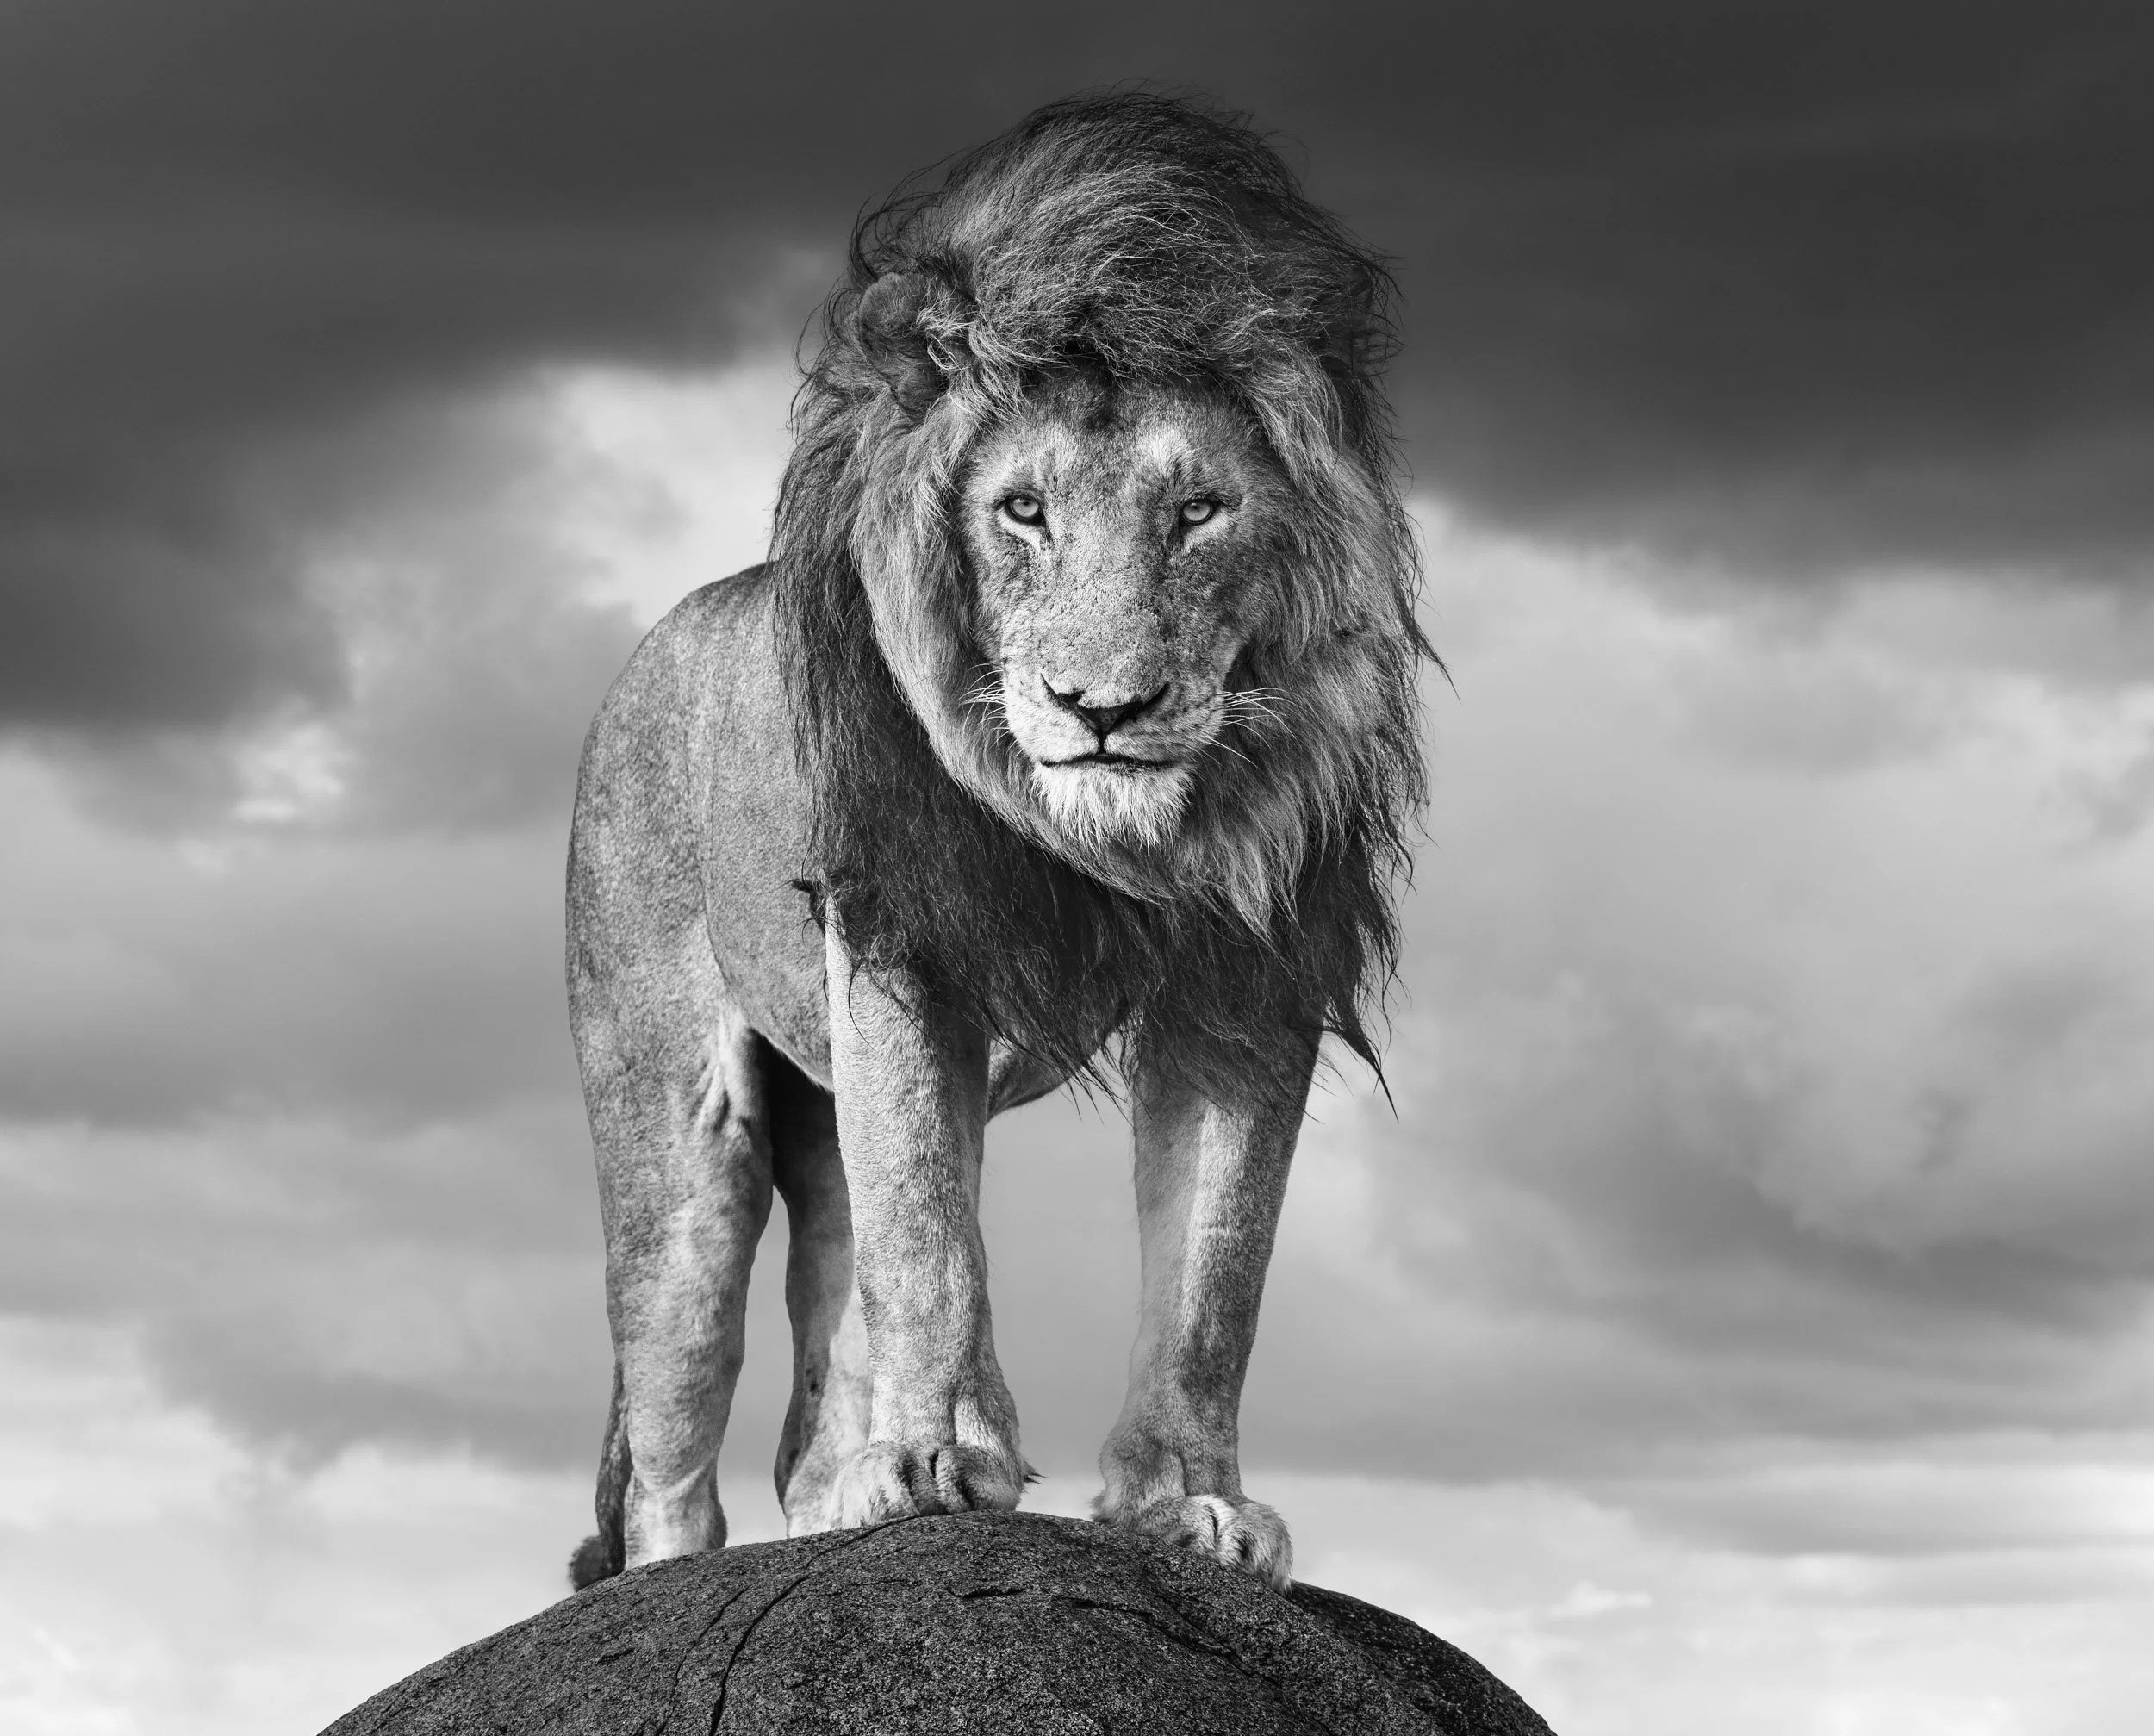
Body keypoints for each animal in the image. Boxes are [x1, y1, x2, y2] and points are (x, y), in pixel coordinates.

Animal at [565, 92, 1426, 1595]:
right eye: (1022, 508)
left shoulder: (1247, 989)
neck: (1120, 845)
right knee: (677, 1445)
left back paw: (837, 1485)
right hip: (675, 1142)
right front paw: (935, 1463)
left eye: (1199, 510)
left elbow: (1214, 1272)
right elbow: (930, 1223)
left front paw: (1190, 1504)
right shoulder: (903, 943)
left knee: (816, 1367)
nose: (1104, 708)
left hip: (815, 1113)